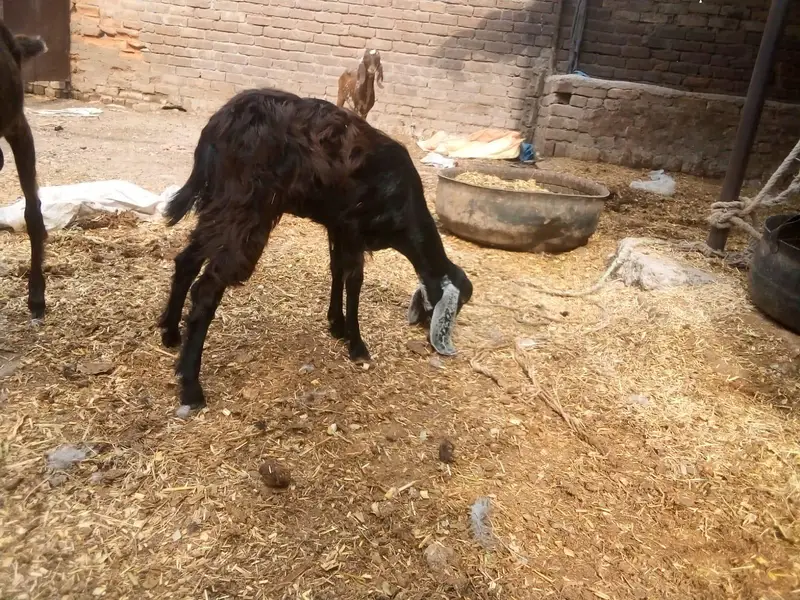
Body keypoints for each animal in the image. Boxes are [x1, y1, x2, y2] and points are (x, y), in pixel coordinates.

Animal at [158, 88, 473, 410]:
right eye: (458, 303)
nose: (432, 331)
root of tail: (218, 125)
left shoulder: (338, 227)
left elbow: (336, 271)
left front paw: (336, 324)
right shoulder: (354, 229)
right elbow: (354, 281)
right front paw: (357, 345)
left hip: (219, 204)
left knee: (186, 261)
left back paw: (170, 333)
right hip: (245, 209)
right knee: (206, 290)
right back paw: (191, 388)